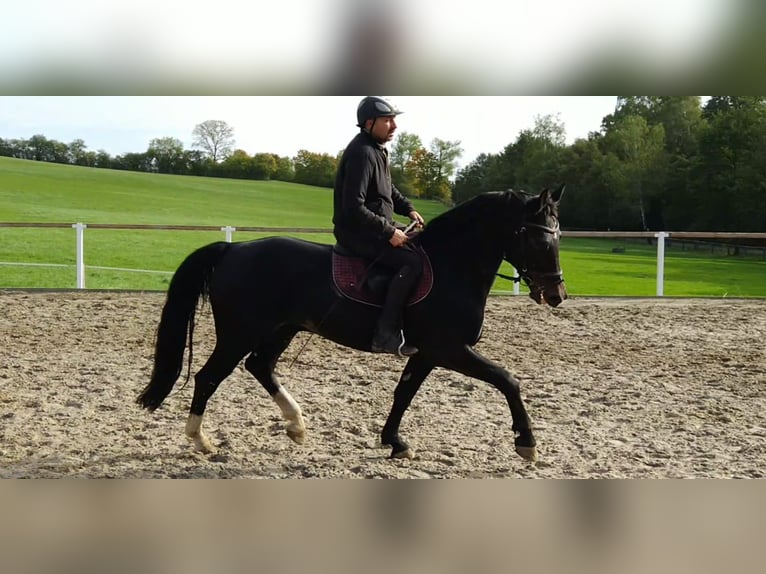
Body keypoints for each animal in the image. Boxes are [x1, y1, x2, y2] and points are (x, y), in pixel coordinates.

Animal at [140, 187, 568, 466]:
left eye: (558, 235)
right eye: (539, 239)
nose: (557, 293)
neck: (452, 266)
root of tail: (233, 249)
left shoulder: (427, 354)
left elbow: (403, 394)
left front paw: (394, 441)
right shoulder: (450, 350)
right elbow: (508, 380)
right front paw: (526, 443)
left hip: (282, 329)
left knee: (259, 366)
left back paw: (296, 425)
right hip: (239, 333)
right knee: (209, 377)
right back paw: (201, 440)